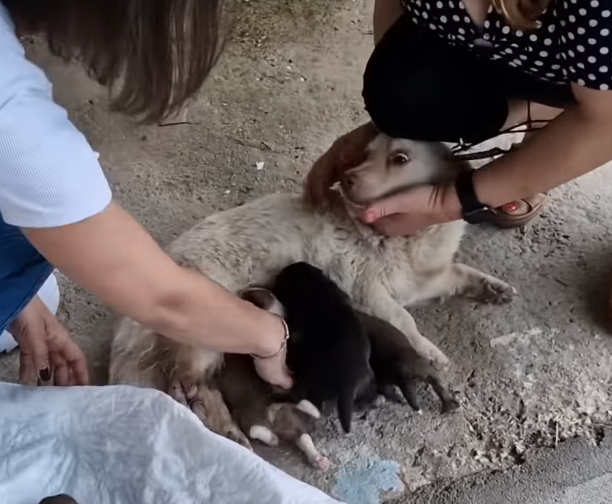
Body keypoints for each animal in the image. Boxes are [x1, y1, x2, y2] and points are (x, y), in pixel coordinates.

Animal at [272, 260, 372, 434]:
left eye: (284, 278)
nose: (277, 275)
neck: (318, 287)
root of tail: (349, 380)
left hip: (311, 376)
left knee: (305, 396)